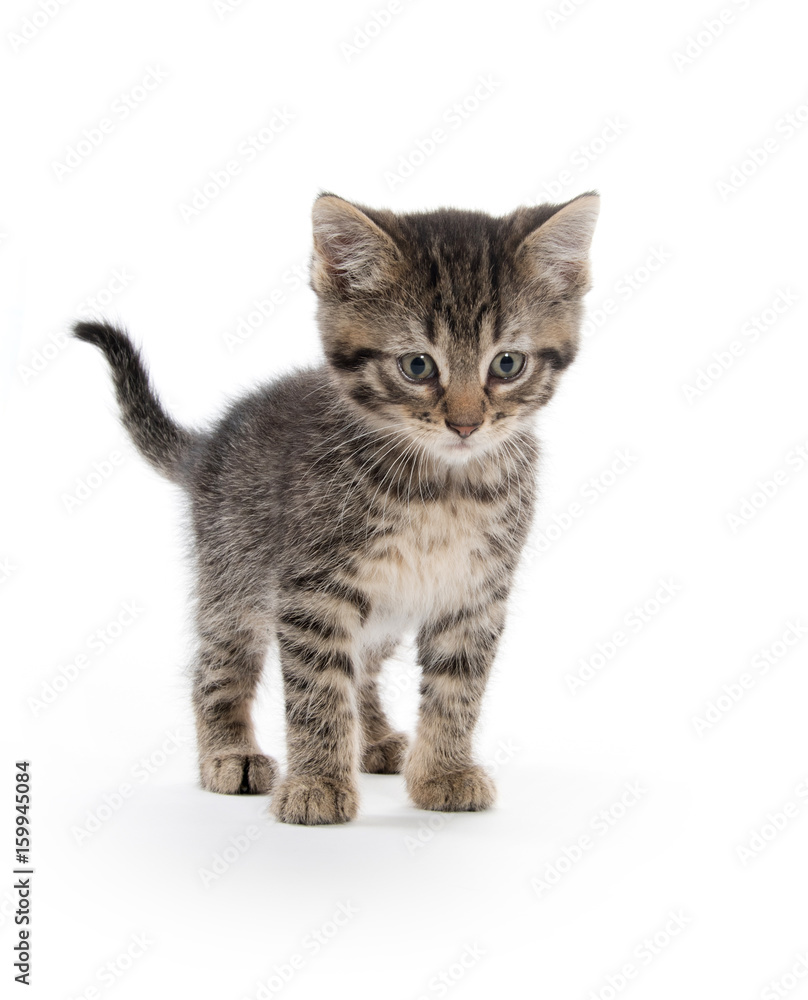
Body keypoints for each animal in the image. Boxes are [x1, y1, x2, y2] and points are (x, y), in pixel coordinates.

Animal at [71, 191, 600, 824]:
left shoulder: (474, 591)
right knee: (219, 664)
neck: (443, 486)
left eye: (507, 364)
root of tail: (209, 447)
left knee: (363, 668)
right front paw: (317, 784)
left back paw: (375, 739)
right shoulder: (311, 588)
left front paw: (443, 772)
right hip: (234, 575)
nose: (466, 424)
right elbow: (318, 690)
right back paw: (230, 751)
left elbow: (457, 688)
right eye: (417, 366)